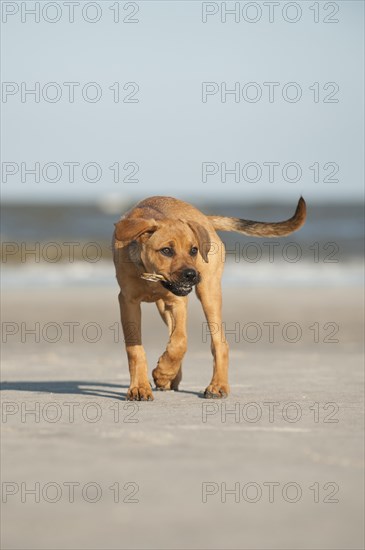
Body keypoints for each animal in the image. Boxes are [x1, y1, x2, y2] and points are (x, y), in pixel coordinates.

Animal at [112, 197, 306, 402]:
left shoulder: (178, 302)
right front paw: (141, 386)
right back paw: (173, 378)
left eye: (193, 250)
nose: (191, 275)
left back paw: (217, 385)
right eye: (166, 250)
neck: (150, 275)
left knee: (219, 343)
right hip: (164, 306)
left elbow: (180, 342)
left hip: (209, 293)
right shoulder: (128, 302)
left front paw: (163, 372)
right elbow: (136, 349)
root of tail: (204, 218)